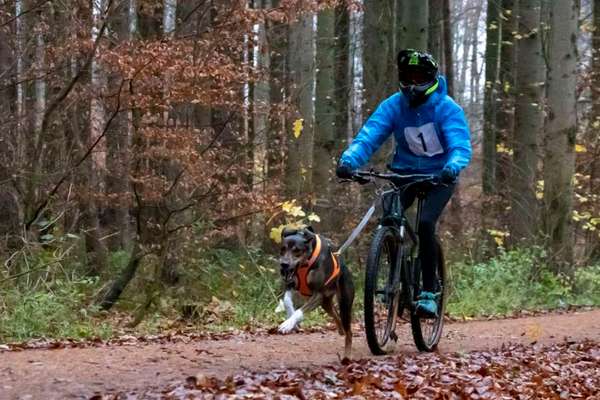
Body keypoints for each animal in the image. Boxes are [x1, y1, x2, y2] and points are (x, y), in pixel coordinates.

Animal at [278, 225, 356, 360]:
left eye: (296, 250)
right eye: (283, 249)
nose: (284, 264)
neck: (305, 264)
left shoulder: (318, 293)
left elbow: (300, 311)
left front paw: (287, 324)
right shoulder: (289, 285)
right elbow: (287, 301)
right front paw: (291, 318)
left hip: (344, 304)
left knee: (349, 332)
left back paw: (347, 356)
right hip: (325, 303)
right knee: (335, 314)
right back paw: (340, 329)